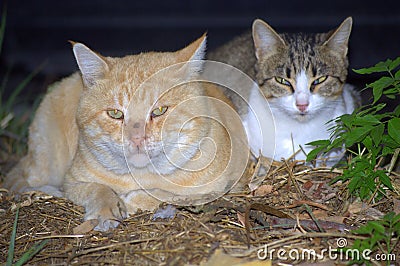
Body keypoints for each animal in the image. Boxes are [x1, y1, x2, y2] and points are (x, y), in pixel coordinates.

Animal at [5, 35, 250, 231]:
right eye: (115, 113)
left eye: (159, 110)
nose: (137, 138)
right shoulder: (72, 182)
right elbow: (97, 189)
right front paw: (106, 210)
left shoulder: (227, 186)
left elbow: (167, 193)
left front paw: (133, 200)